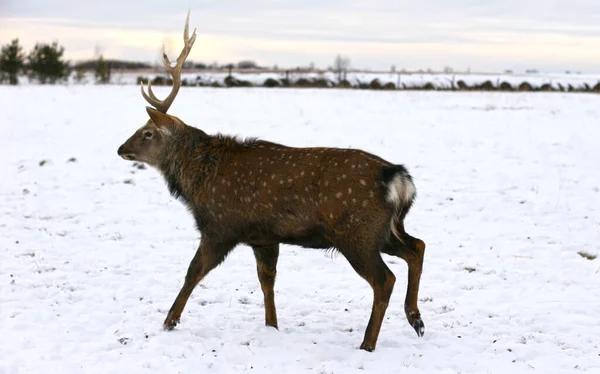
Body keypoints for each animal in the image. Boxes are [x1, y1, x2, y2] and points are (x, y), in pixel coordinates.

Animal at [117, 11, 424, 350]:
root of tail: (398, 179)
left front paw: (169, 322)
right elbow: (267, 281)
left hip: (357, 232)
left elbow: (193, 272)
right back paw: (415, 318)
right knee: (417, 247)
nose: (121, 148)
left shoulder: (220, 226)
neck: (196, 181)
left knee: (385, 279)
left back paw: (368, 343)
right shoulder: (264, 236)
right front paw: (272, 326)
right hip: (385, 229)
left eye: (147, 133)